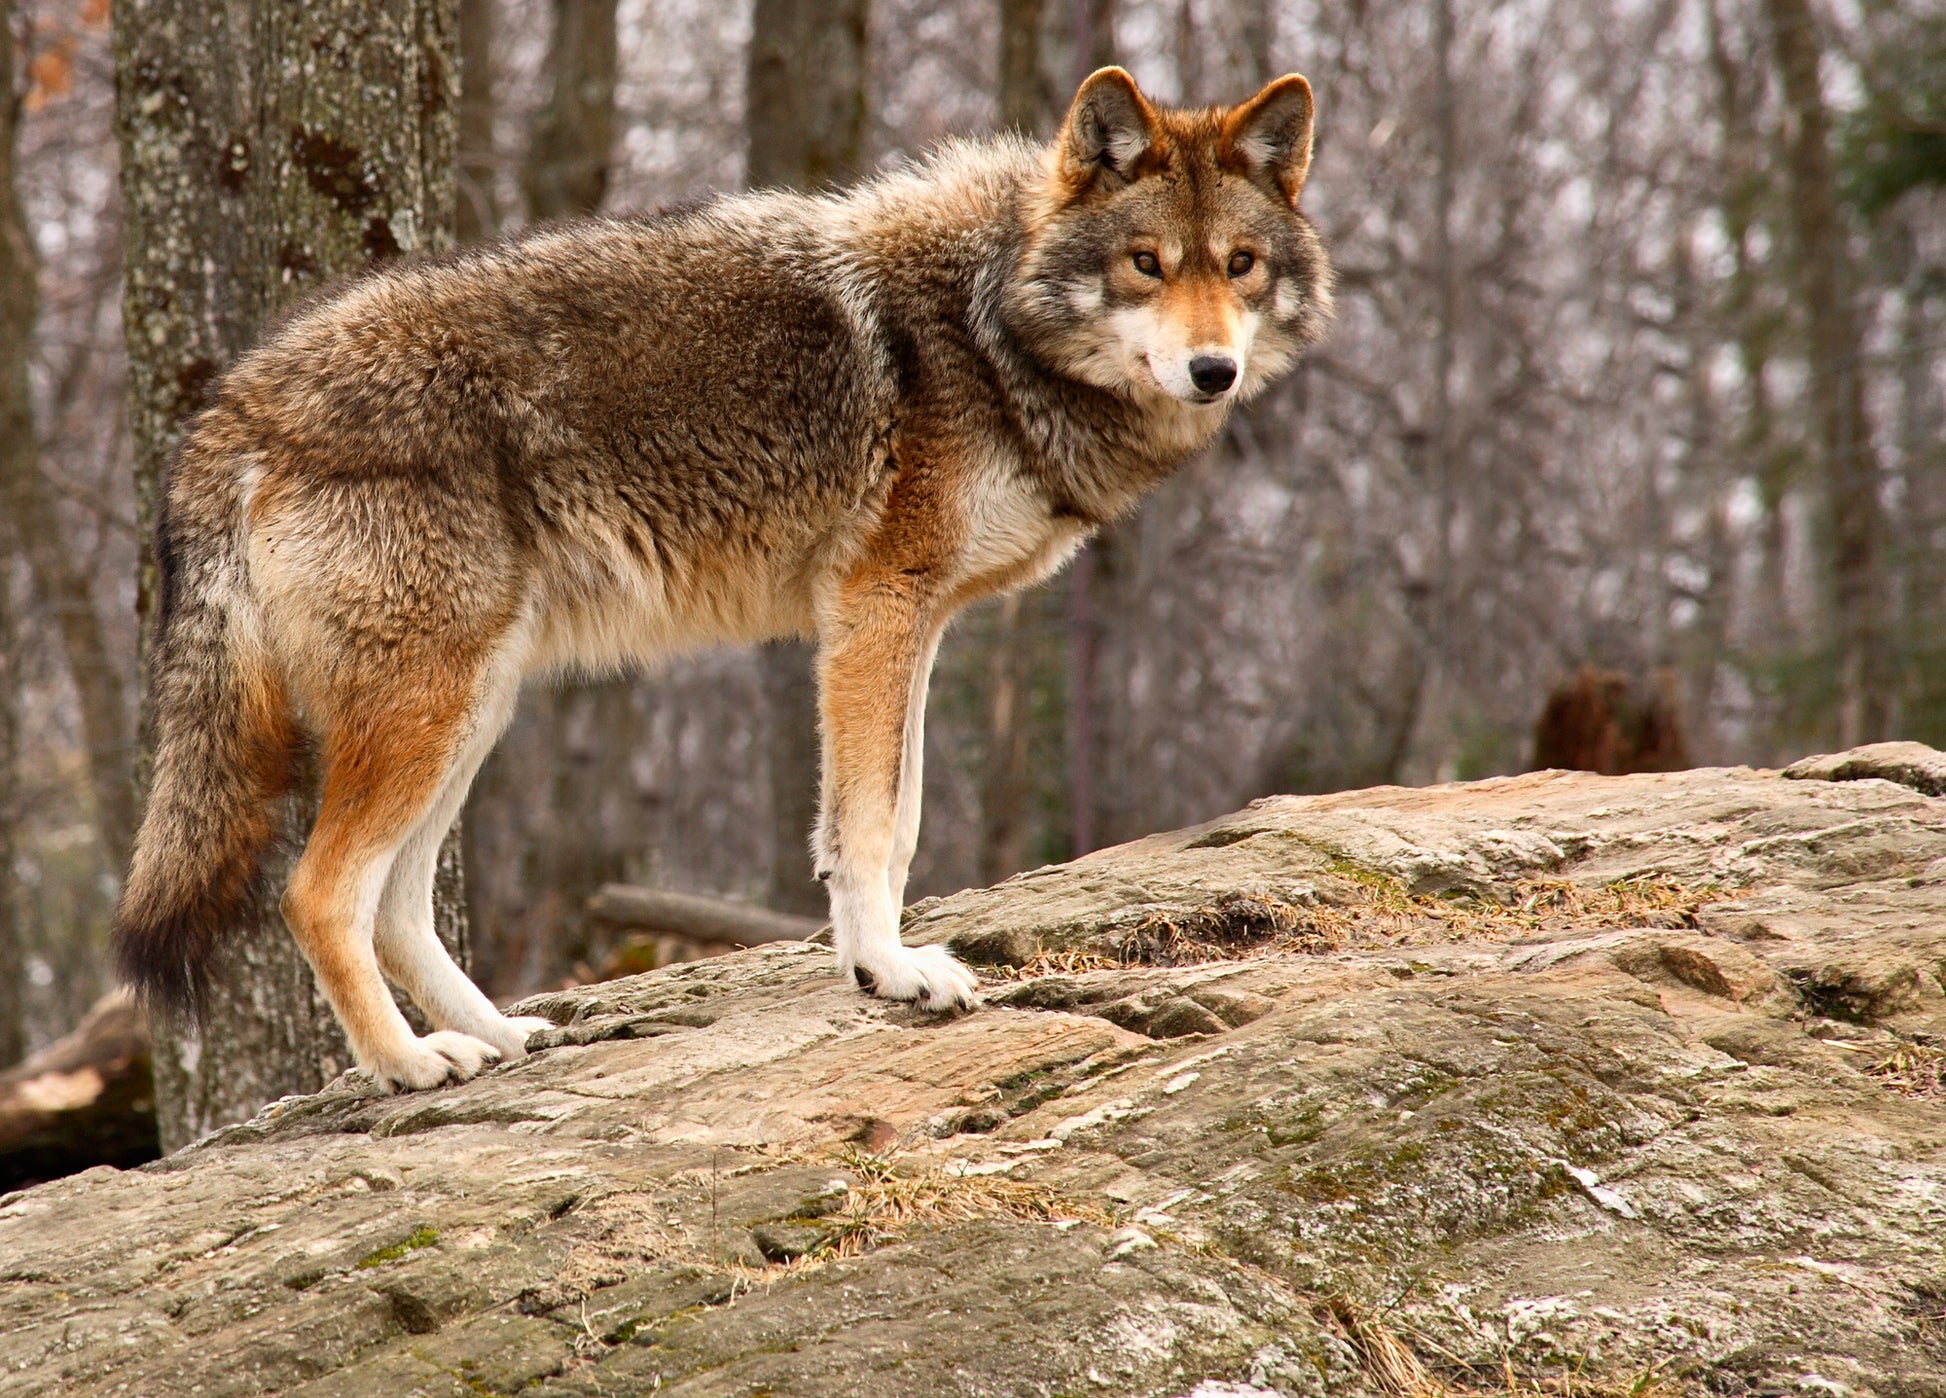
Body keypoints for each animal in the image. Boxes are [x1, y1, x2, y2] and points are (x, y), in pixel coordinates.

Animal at [113, 65, 1331, 1098]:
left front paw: (874, 964)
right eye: (1145, 264)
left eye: (1238, 266)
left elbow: (890, 822)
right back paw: (409, 1066)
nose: (1212, 370)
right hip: (429, 708)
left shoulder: (913, 626)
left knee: (401, 909)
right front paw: (892, 975)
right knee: (319, 895)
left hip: (470, 706)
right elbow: (874, 829)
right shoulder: (876, 613)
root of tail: (231, 407)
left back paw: (499, 1036)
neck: (987, 327)